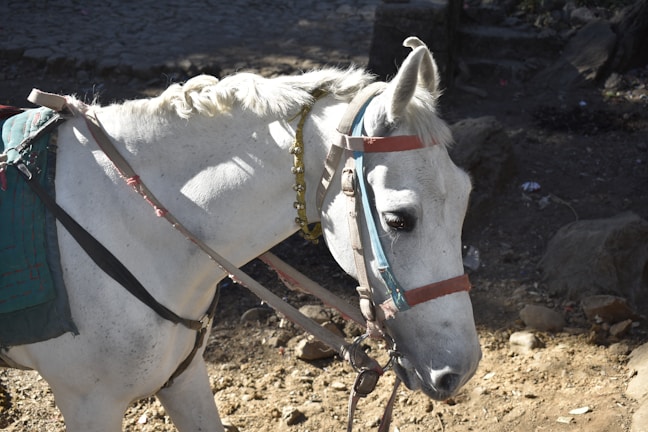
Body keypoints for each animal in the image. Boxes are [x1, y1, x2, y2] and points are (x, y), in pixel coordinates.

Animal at [0, 37, 481, 431]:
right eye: (399, 219)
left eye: (465, 197)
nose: (462, 367)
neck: (130, 222)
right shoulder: (91, 403)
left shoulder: (184, 378)